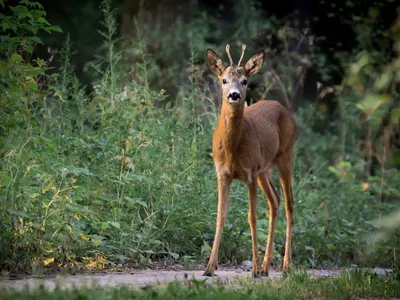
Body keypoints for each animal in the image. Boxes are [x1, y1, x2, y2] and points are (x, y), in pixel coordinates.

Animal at [203, 43, 296, 278]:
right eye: (224, 80)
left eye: (245, 81)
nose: (235, 95)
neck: (232, 150)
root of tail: (285, 109)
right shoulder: (222, 174)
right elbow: (220, 216)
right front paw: (209, 267)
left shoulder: (250, 173)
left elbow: (252, 218)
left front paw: (252, 269)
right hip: (265, 169)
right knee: (275, 201)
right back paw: (265, 266)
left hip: (285, 156)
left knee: (289, 204)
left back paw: (285, 266)